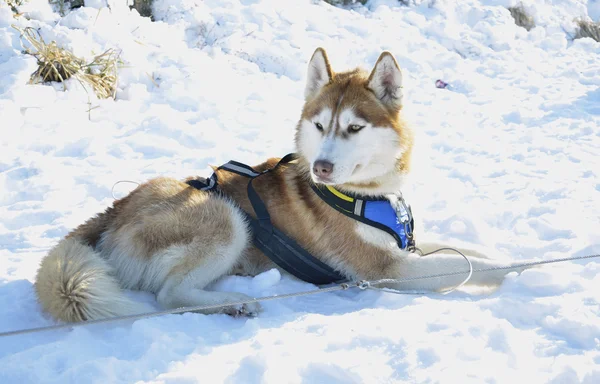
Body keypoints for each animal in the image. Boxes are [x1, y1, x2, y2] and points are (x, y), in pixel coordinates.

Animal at [34, 49, 520, 322]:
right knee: (168, 294)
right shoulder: (387, 269)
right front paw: (526, 273)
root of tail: (116, 208)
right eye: (321, 125)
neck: (367, 194)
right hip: (225, 219)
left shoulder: (406, 247)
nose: (321, 167)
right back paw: (232, 303)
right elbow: (475, 267)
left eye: (354, 128)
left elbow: (474, 253)